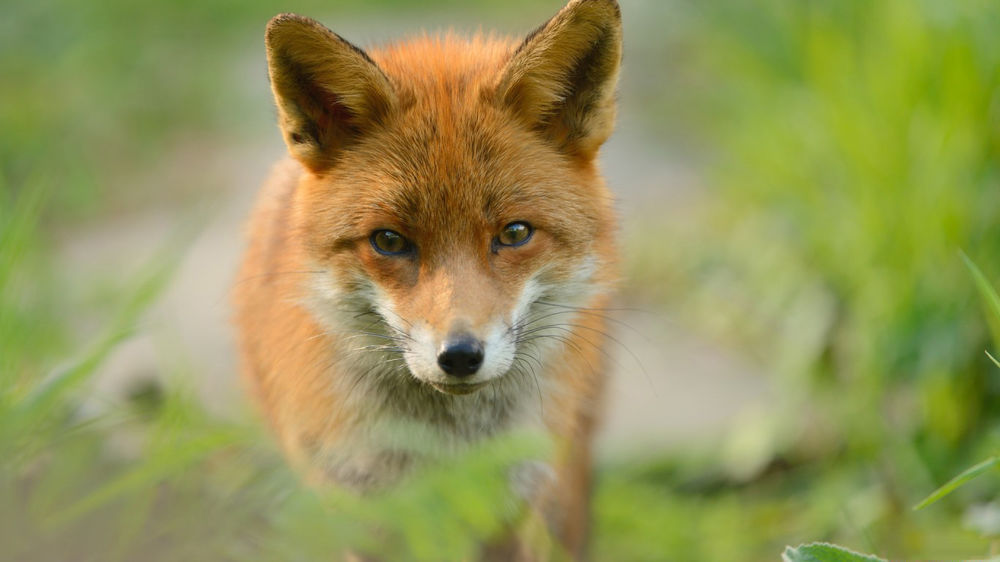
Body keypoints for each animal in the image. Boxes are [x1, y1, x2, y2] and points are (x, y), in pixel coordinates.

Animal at [233, 0, 622, 558]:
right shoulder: (363, 511)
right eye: (390, 241)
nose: (459, 356)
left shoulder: (516, 502)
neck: (448, 451)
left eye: (515, 232)